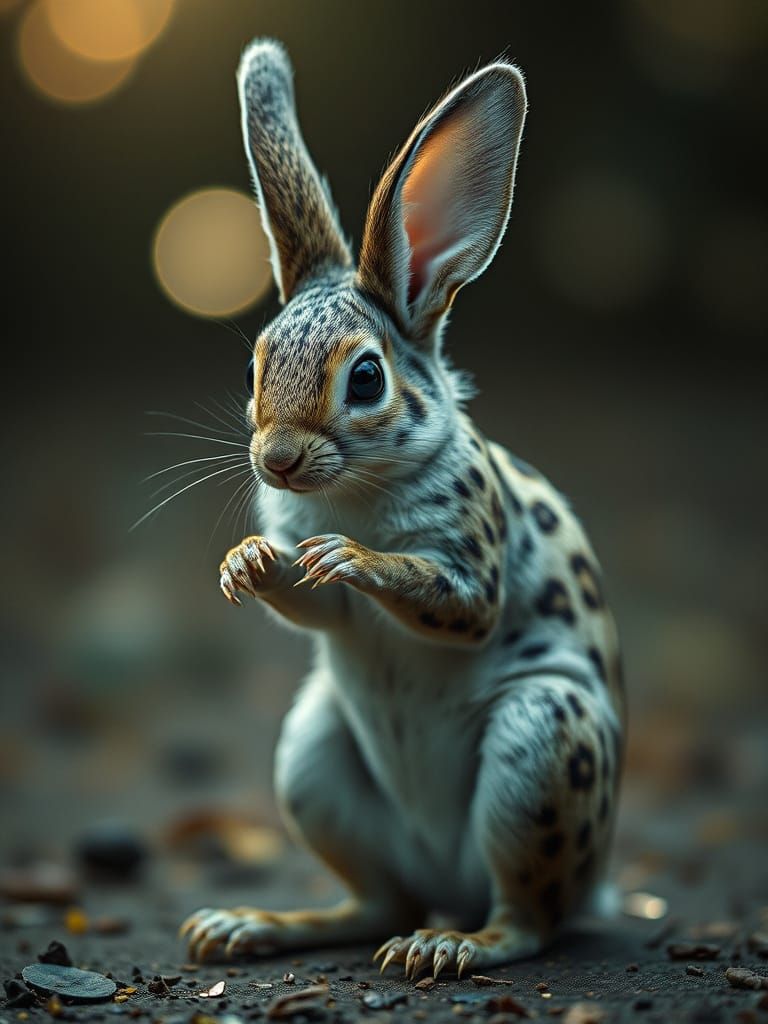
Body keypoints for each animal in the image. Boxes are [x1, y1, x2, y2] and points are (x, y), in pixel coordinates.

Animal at [180, 39, 625, 978]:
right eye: (253, 367)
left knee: (525, 918)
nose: (276, 460)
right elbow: (314, 608)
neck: (350, 493)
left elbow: (454, 601)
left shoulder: (476, 547)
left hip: (542, 747)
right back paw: (254, 925)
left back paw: (451, 946)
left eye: (366, 379)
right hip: (312, 759)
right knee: (375, 903)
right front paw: (252, 563)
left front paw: (357, 558)